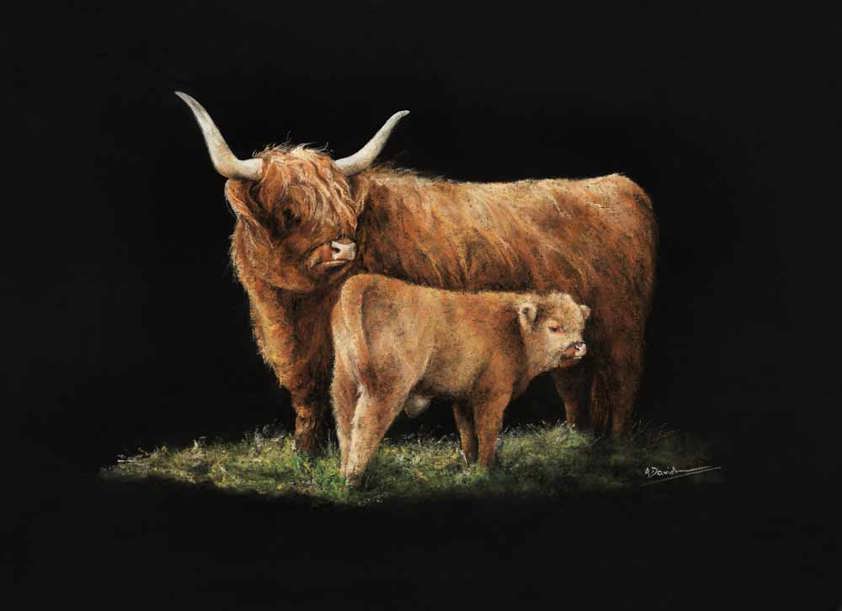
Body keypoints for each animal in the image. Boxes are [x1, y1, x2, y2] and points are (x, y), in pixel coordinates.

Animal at [175, 92, 657, 455]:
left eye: (344, 210)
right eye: (290, 211)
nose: (343, 247)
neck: (296, 307)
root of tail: (616, 183)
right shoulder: (295, 349)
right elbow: (308, 398)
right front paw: (306, 454)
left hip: (621, 328)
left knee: (622, 380)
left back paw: (616, 447)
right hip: (571, 335)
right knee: (574, 384)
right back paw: (579, 441)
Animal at [331, 274, 591, 485]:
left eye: (580, 326)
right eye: (554, 327)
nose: (579, 346)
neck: (515, 330)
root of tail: (365, 281)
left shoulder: (464, 398)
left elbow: (468, 433)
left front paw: (471, 466)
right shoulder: (492, 395)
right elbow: (487, 430)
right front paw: (486, 470)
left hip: (345, 382)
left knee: (345, 425)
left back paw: (344, 475)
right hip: (386, 388)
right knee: (366, 425)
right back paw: (355, 479)